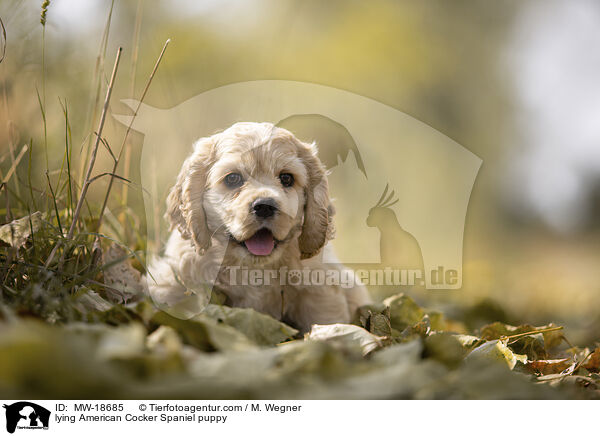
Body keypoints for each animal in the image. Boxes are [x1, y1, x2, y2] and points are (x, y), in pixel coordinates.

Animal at [146, 121, 370, 332]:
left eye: (286, 178)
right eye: (233, 178)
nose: (264, 206)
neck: (252, 266)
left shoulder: (319, 291)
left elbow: (324, 321)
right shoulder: (175, 281)